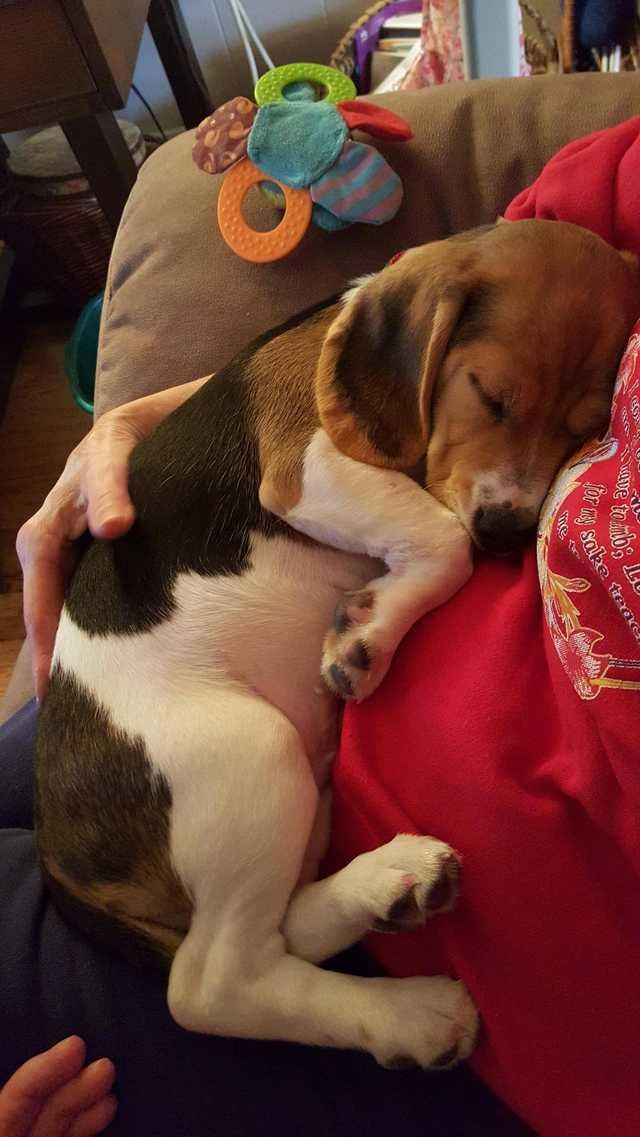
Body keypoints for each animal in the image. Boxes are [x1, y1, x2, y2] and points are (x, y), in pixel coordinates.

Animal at [36, 217, 640, 1068]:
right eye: (489, 394)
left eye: (585, 428)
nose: (507, 531)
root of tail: (56, 852)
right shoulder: (309, 466)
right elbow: (442, 536)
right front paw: (368, 639)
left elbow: (441, 535)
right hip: (252, 752)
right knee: (217, 982)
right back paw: (412, 1012)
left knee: (276, 931)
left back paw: (392, 883)